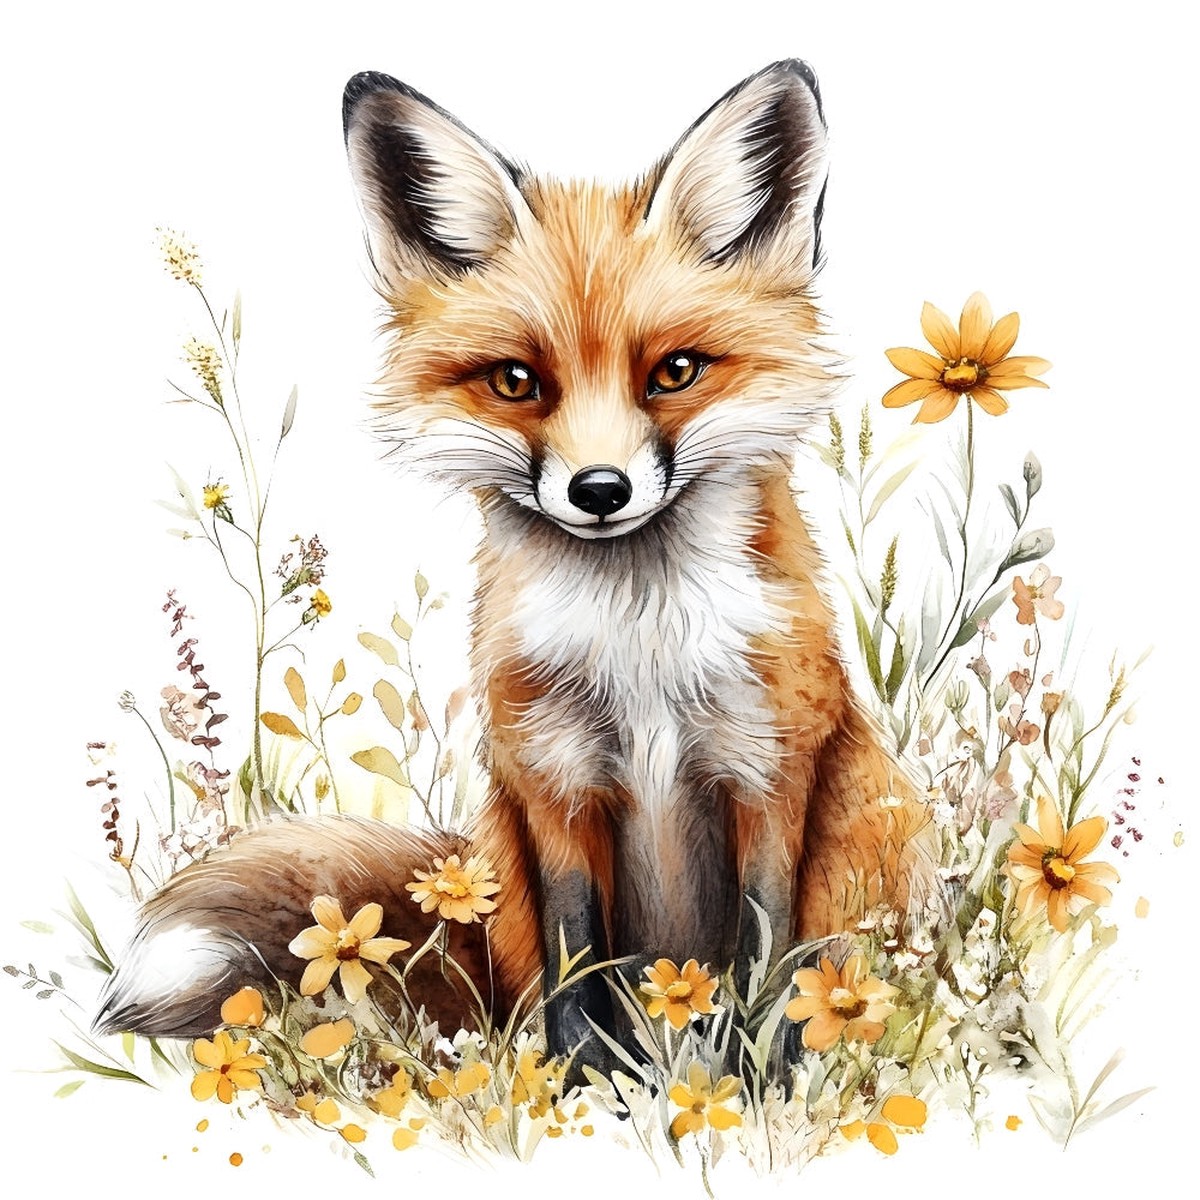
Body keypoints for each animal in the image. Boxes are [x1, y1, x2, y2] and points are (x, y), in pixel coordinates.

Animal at [96, 60, 931, 1062]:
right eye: (517, 382)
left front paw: (757, 1082)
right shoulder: (554, 783)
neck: (641, 646)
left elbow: (767, 966)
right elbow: (579, 968)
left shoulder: (769, 774)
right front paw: (585, 1086)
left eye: (676, 372)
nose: (601, 489)